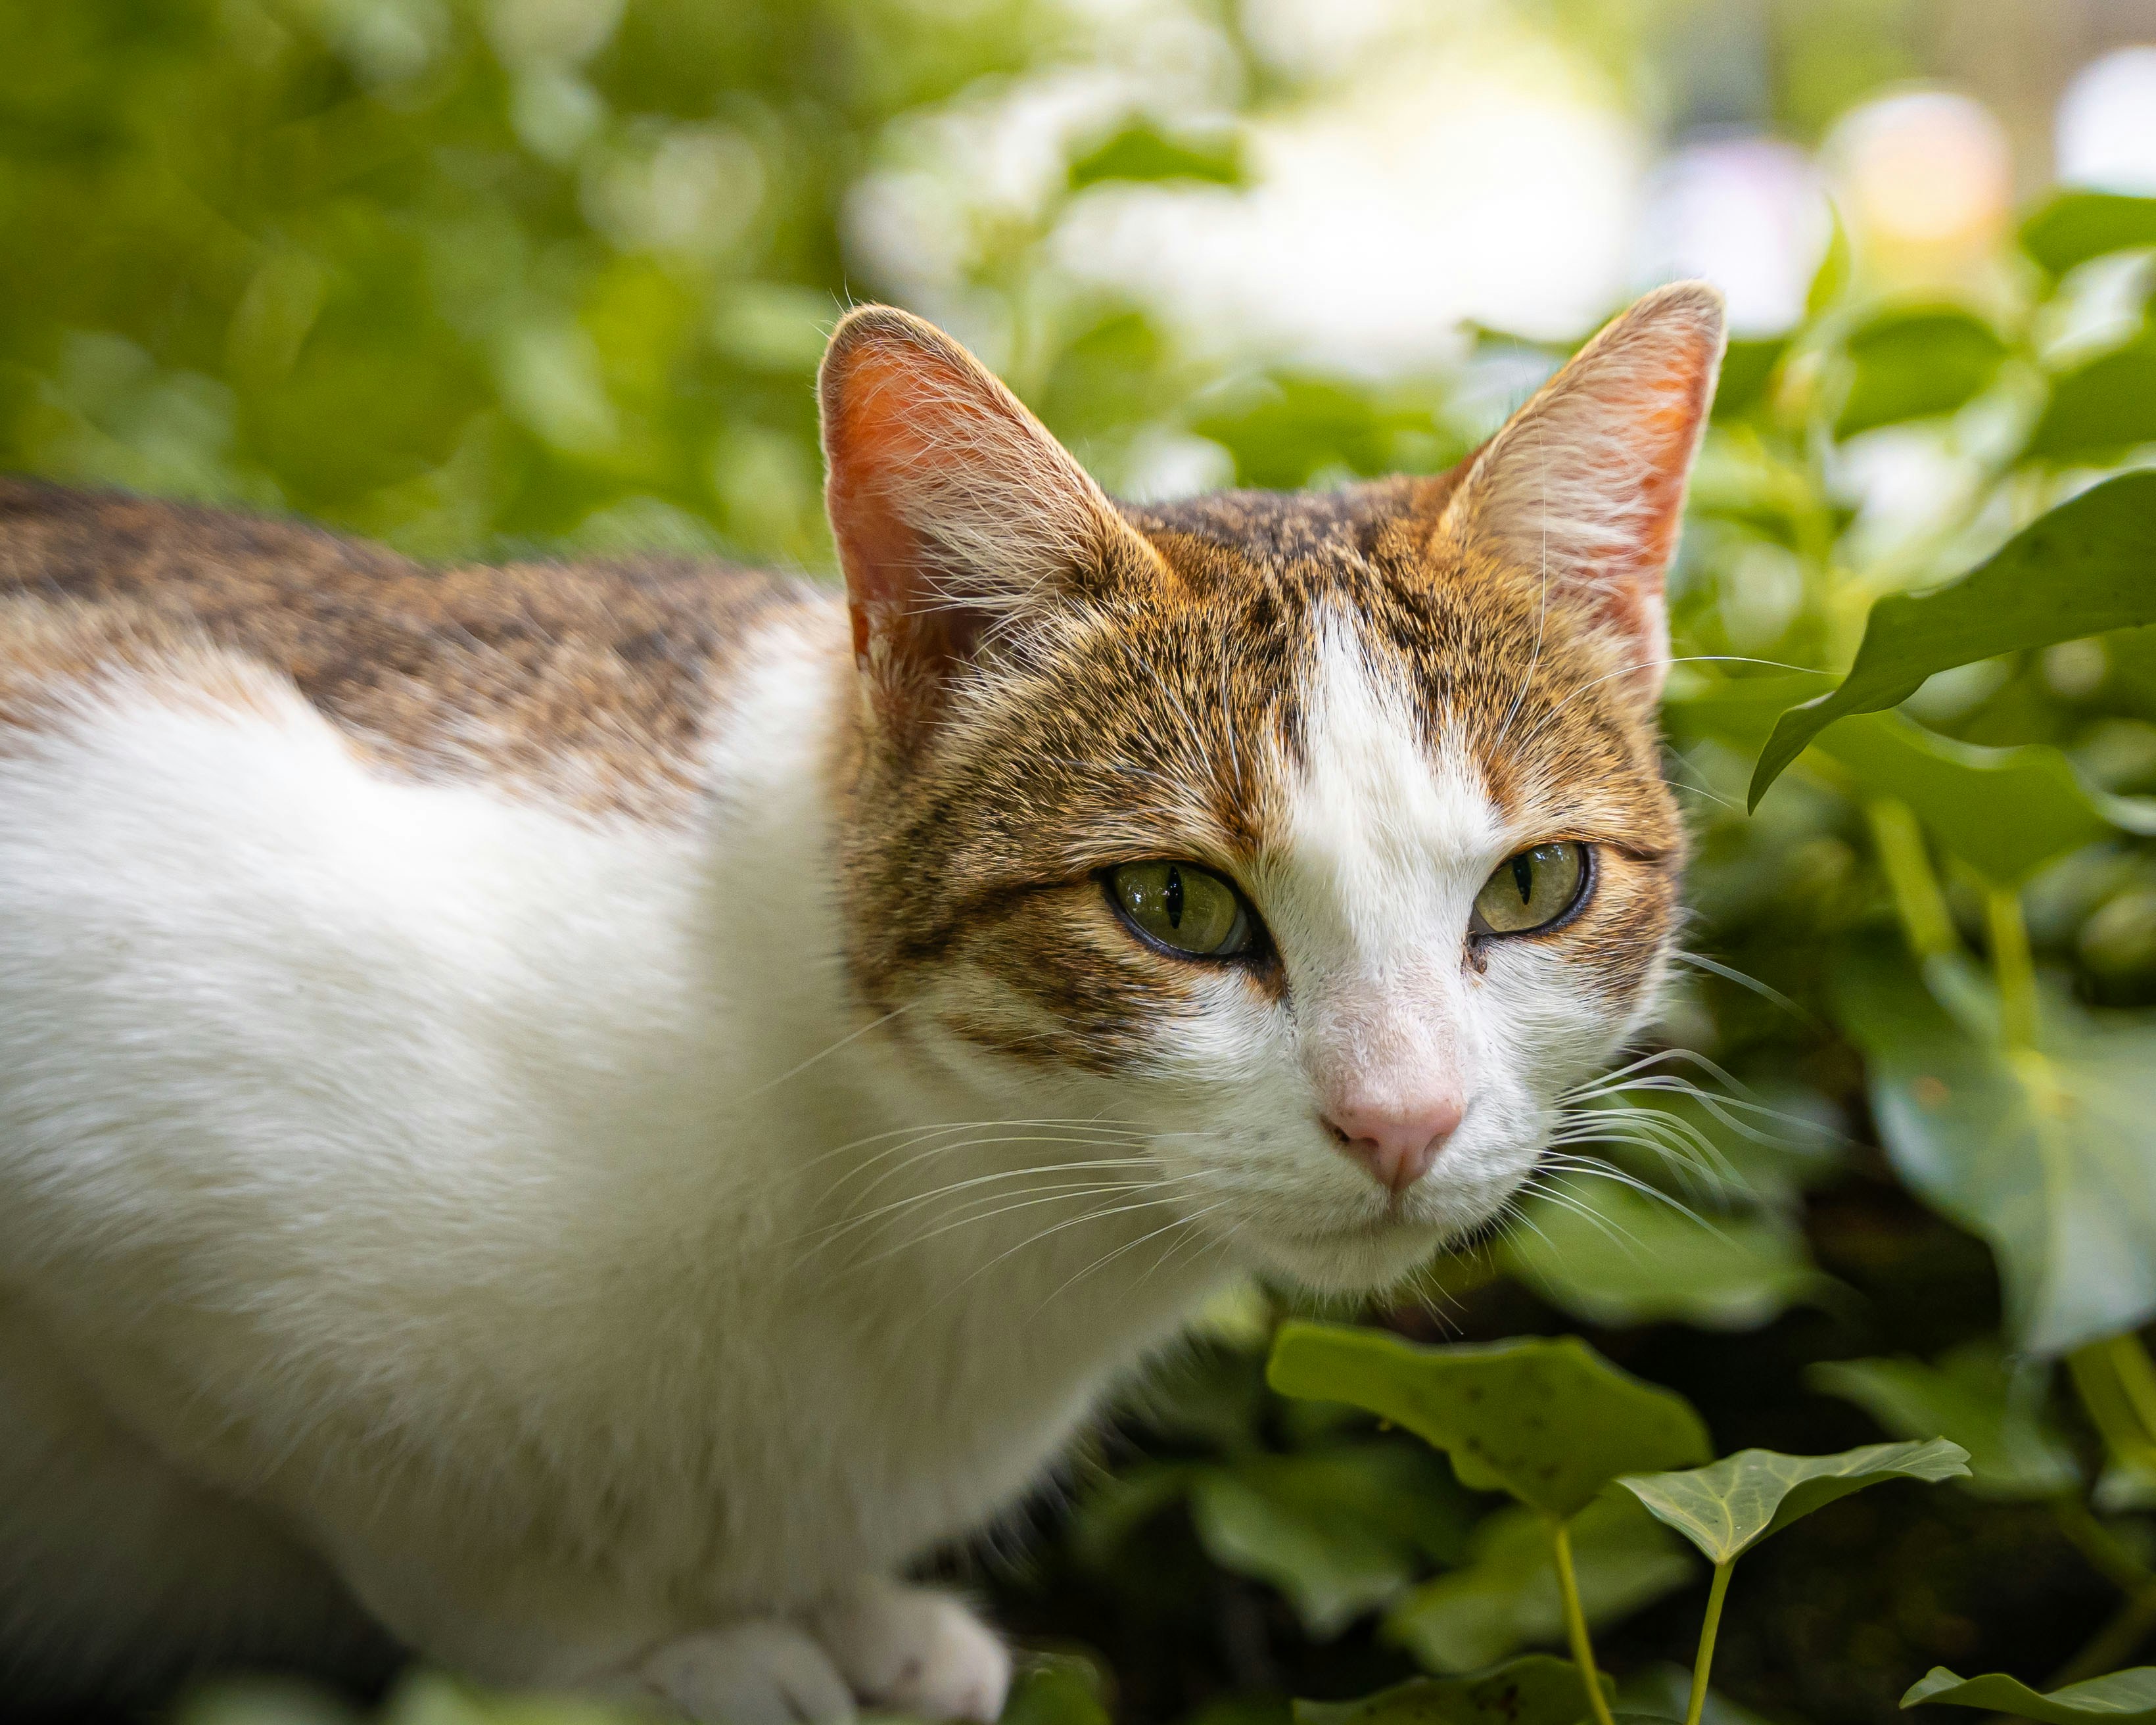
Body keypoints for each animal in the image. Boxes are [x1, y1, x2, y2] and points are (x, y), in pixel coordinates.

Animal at [0, 280, 1725, 1707]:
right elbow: (431, 1530)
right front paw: (658, 1651)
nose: (1402, 1116)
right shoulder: (121, 1059)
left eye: (1533, 884)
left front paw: (839, 1612)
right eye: (1173, 905)